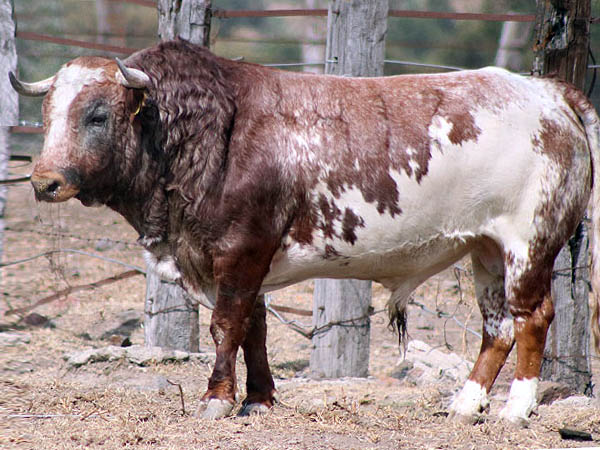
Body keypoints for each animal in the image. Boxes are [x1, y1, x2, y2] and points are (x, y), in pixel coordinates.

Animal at [10, 38, 600, 424]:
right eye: (48, 114)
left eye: (97, 115)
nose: (44, 181)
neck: (203, 135)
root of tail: (549, 94)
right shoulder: (246, 262)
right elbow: (253, 329)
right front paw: (259, 398)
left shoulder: (240, 251)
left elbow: (226, 326)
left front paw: (217, 398)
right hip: (485, 250)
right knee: (496, 328)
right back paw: (465, 404)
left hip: (529, 244)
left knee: (532, 318)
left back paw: (515, 409)